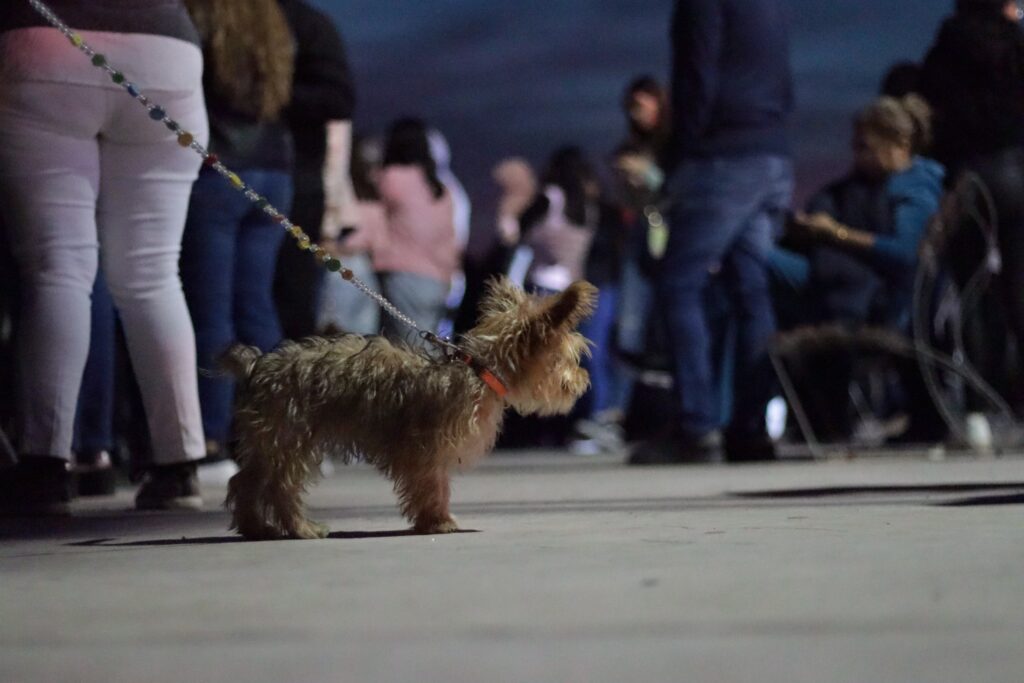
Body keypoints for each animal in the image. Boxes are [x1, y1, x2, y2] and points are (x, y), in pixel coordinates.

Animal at [220, 278, 598, 540]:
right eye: (568, 358)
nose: (583, 380)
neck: (478, 371)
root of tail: (255, 366)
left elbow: (435, 484)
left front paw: (435, 519)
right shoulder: (425, 449)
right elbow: (432, 484)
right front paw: (439, 521)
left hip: (271, 443)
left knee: (245, 481)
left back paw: (256, 527)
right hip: (292, 440)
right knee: (280, 487)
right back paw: (301, 528)